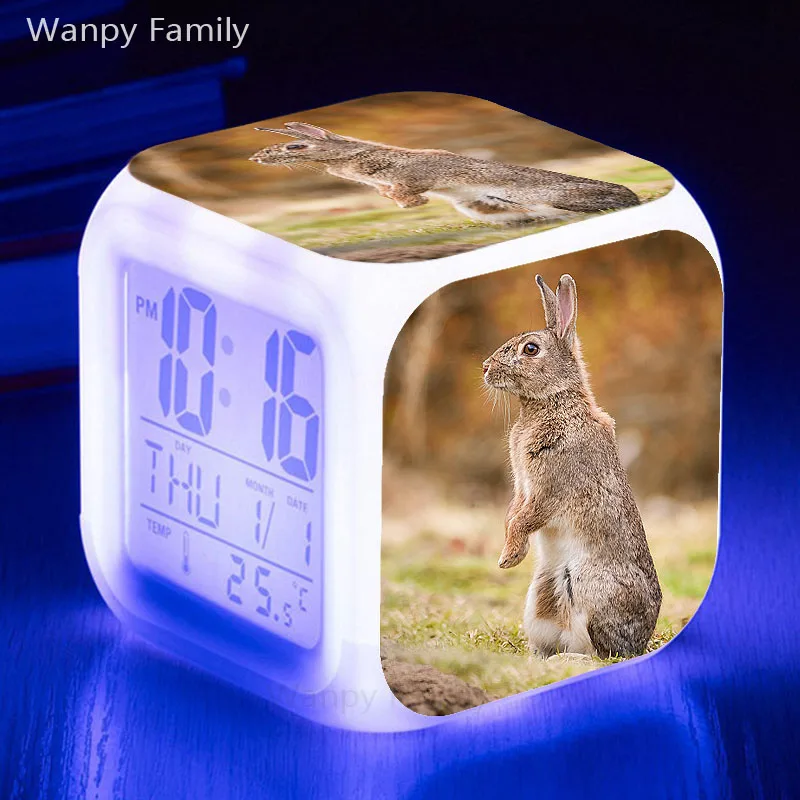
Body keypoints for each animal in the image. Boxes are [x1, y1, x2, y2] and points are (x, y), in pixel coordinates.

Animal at [482, 274, 661, 658]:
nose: (485, 367)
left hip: (594, 591)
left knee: (602, 653)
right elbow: (512, 514)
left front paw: (509, 558)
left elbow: (524, 519)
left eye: (530, 349)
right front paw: (510, 555)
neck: (553, 400)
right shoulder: (523, 487)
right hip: (539, 599)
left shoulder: (549, 488)